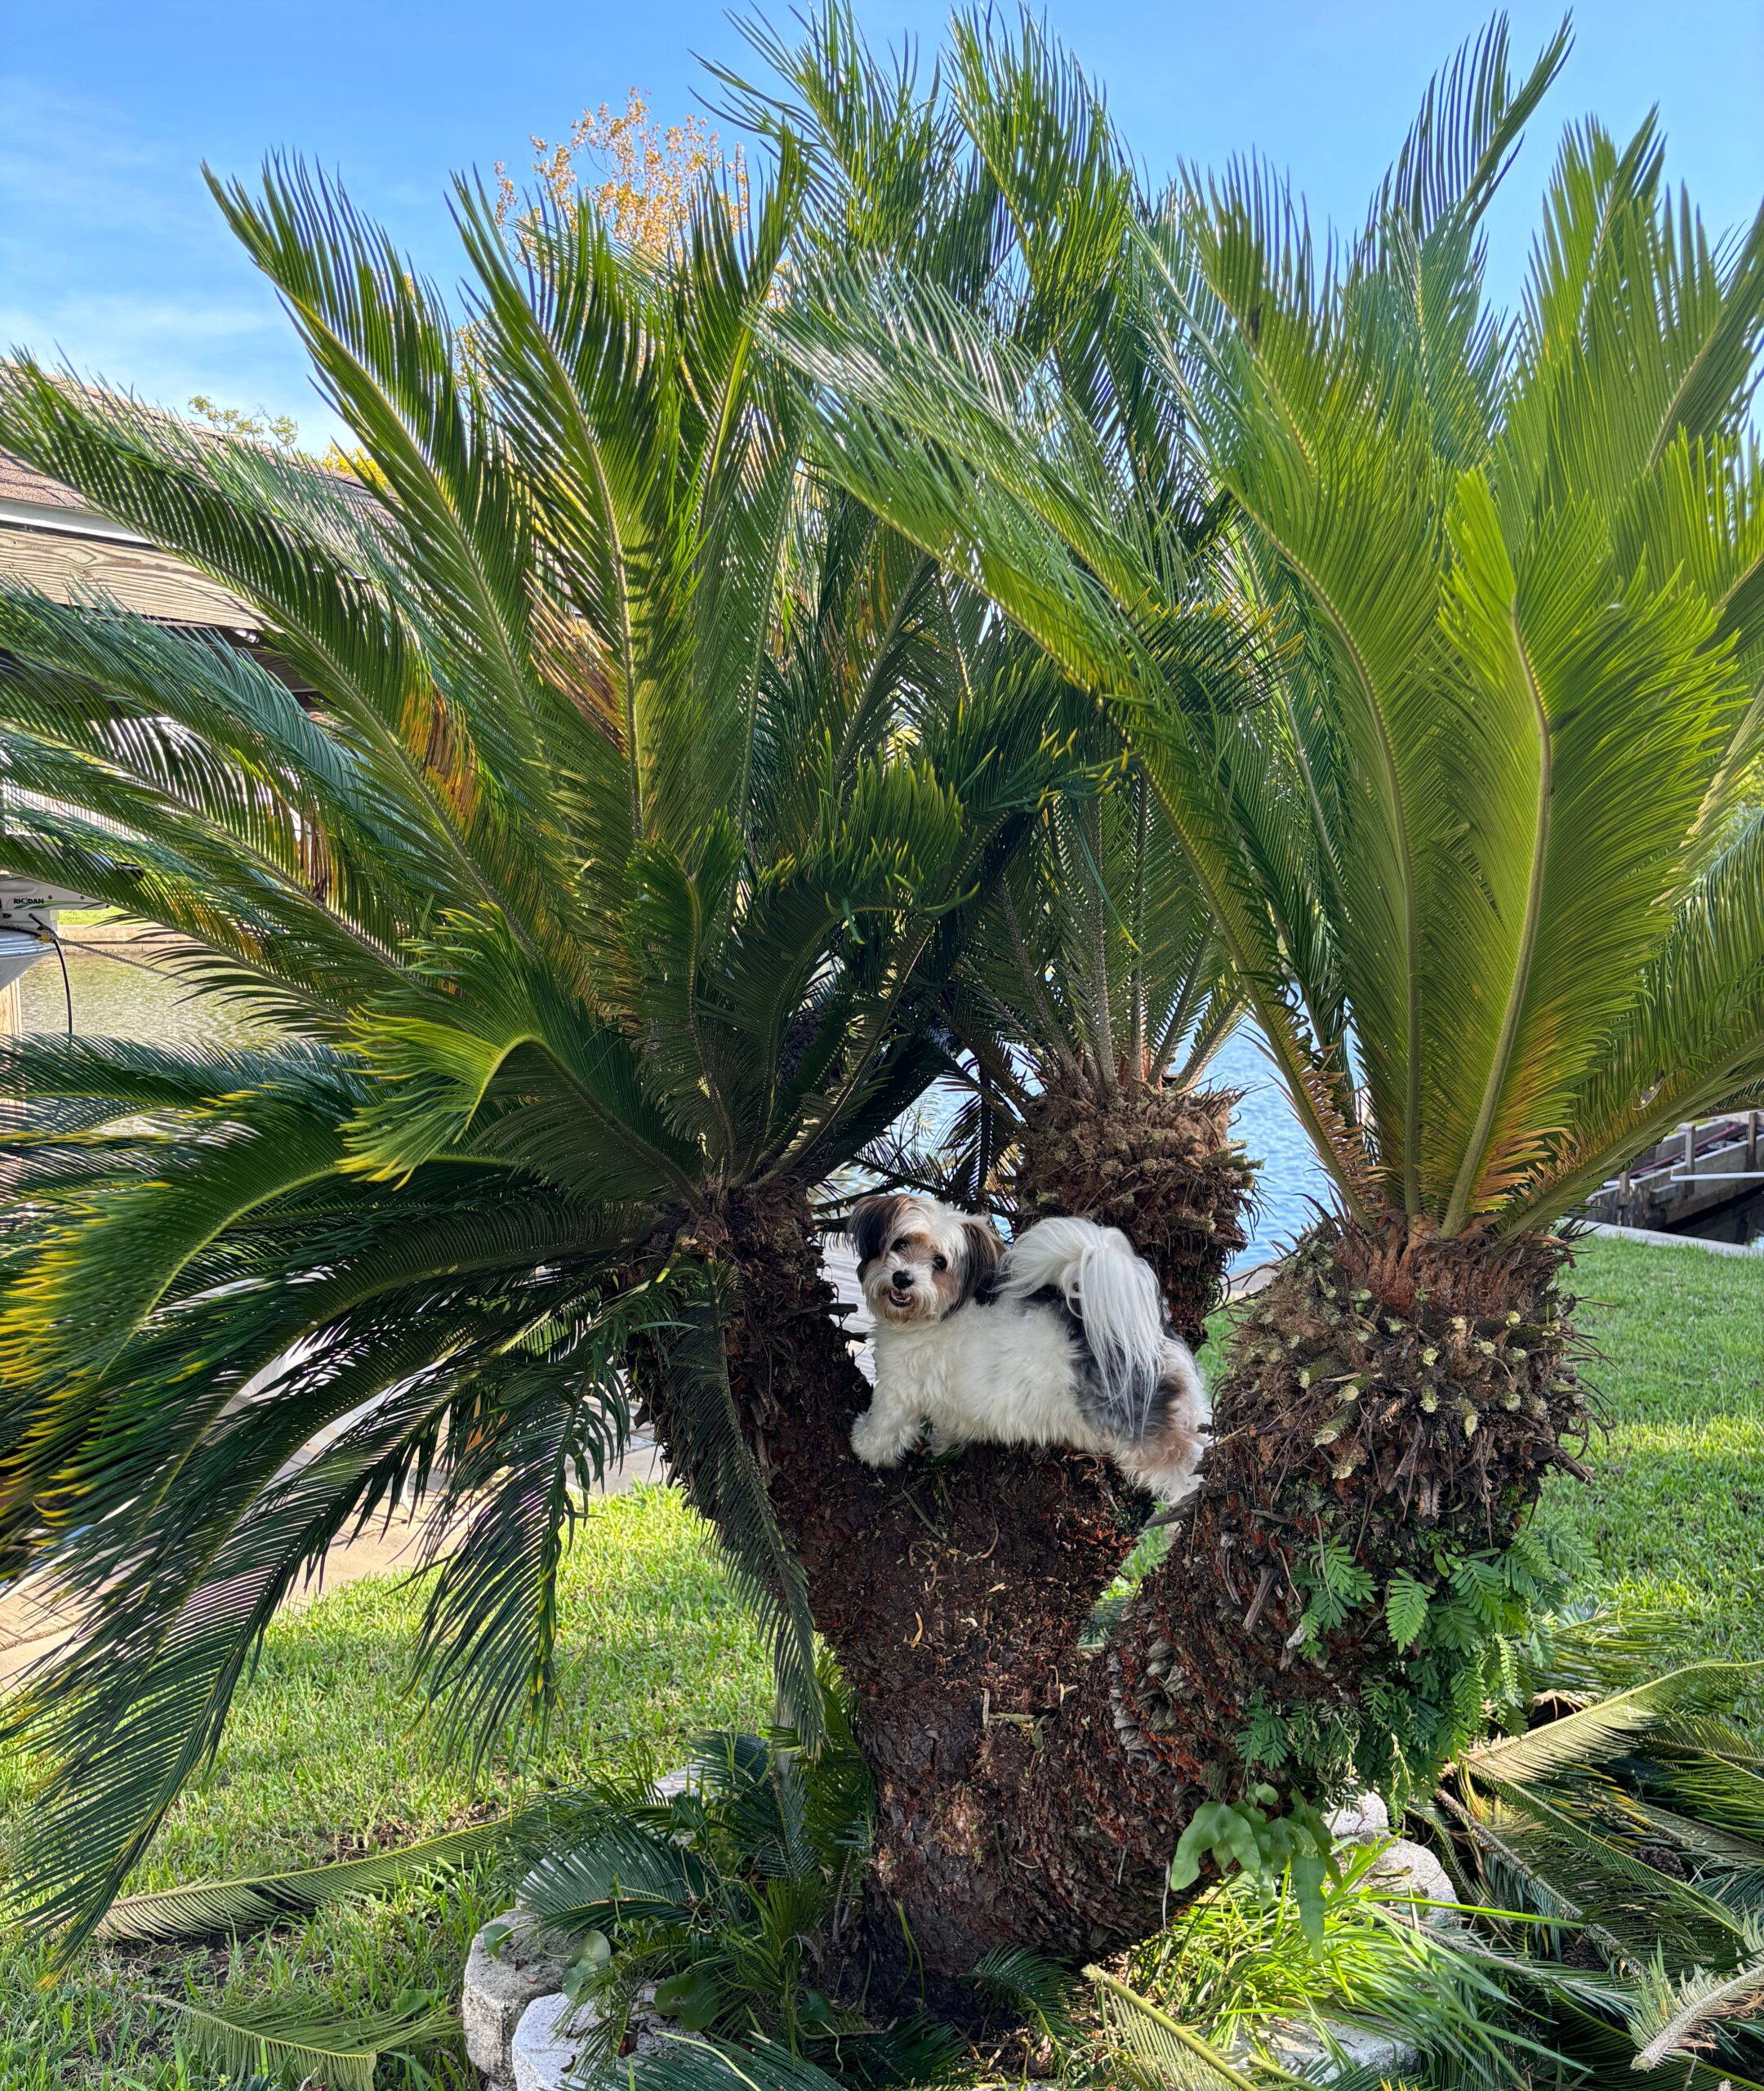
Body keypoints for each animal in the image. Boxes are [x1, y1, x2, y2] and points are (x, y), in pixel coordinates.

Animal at [846, 1193, 1209, 1501]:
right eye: (900, 1243)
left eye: (939, 1262)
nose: (902, 1278)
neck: (937, 1315)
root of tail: (1154, 1332)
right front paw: (941, 1446)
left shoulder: (898, 1390)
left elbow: (886, 1426)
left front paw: (865, 1446)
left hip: (1144, 1431)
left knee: (1187, 1467)